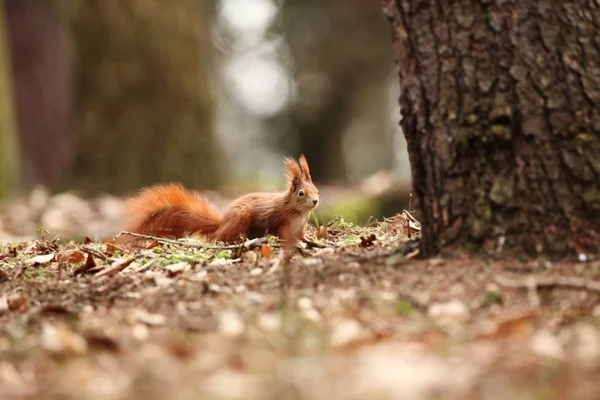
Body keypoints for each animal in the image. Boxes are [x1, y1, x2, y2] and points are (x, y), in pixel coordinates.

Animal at [118, 154, 322, 247]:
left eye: (317, 191)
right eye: (301, 193)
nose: (315, 201)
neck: (296, 211)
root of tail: (221, 224)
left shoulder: (299, 227)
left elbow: (302, 236)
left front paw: (313, 241)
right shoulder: (279, 222)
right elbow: (280, 233)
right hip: (241, 217)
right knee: (219, 238)